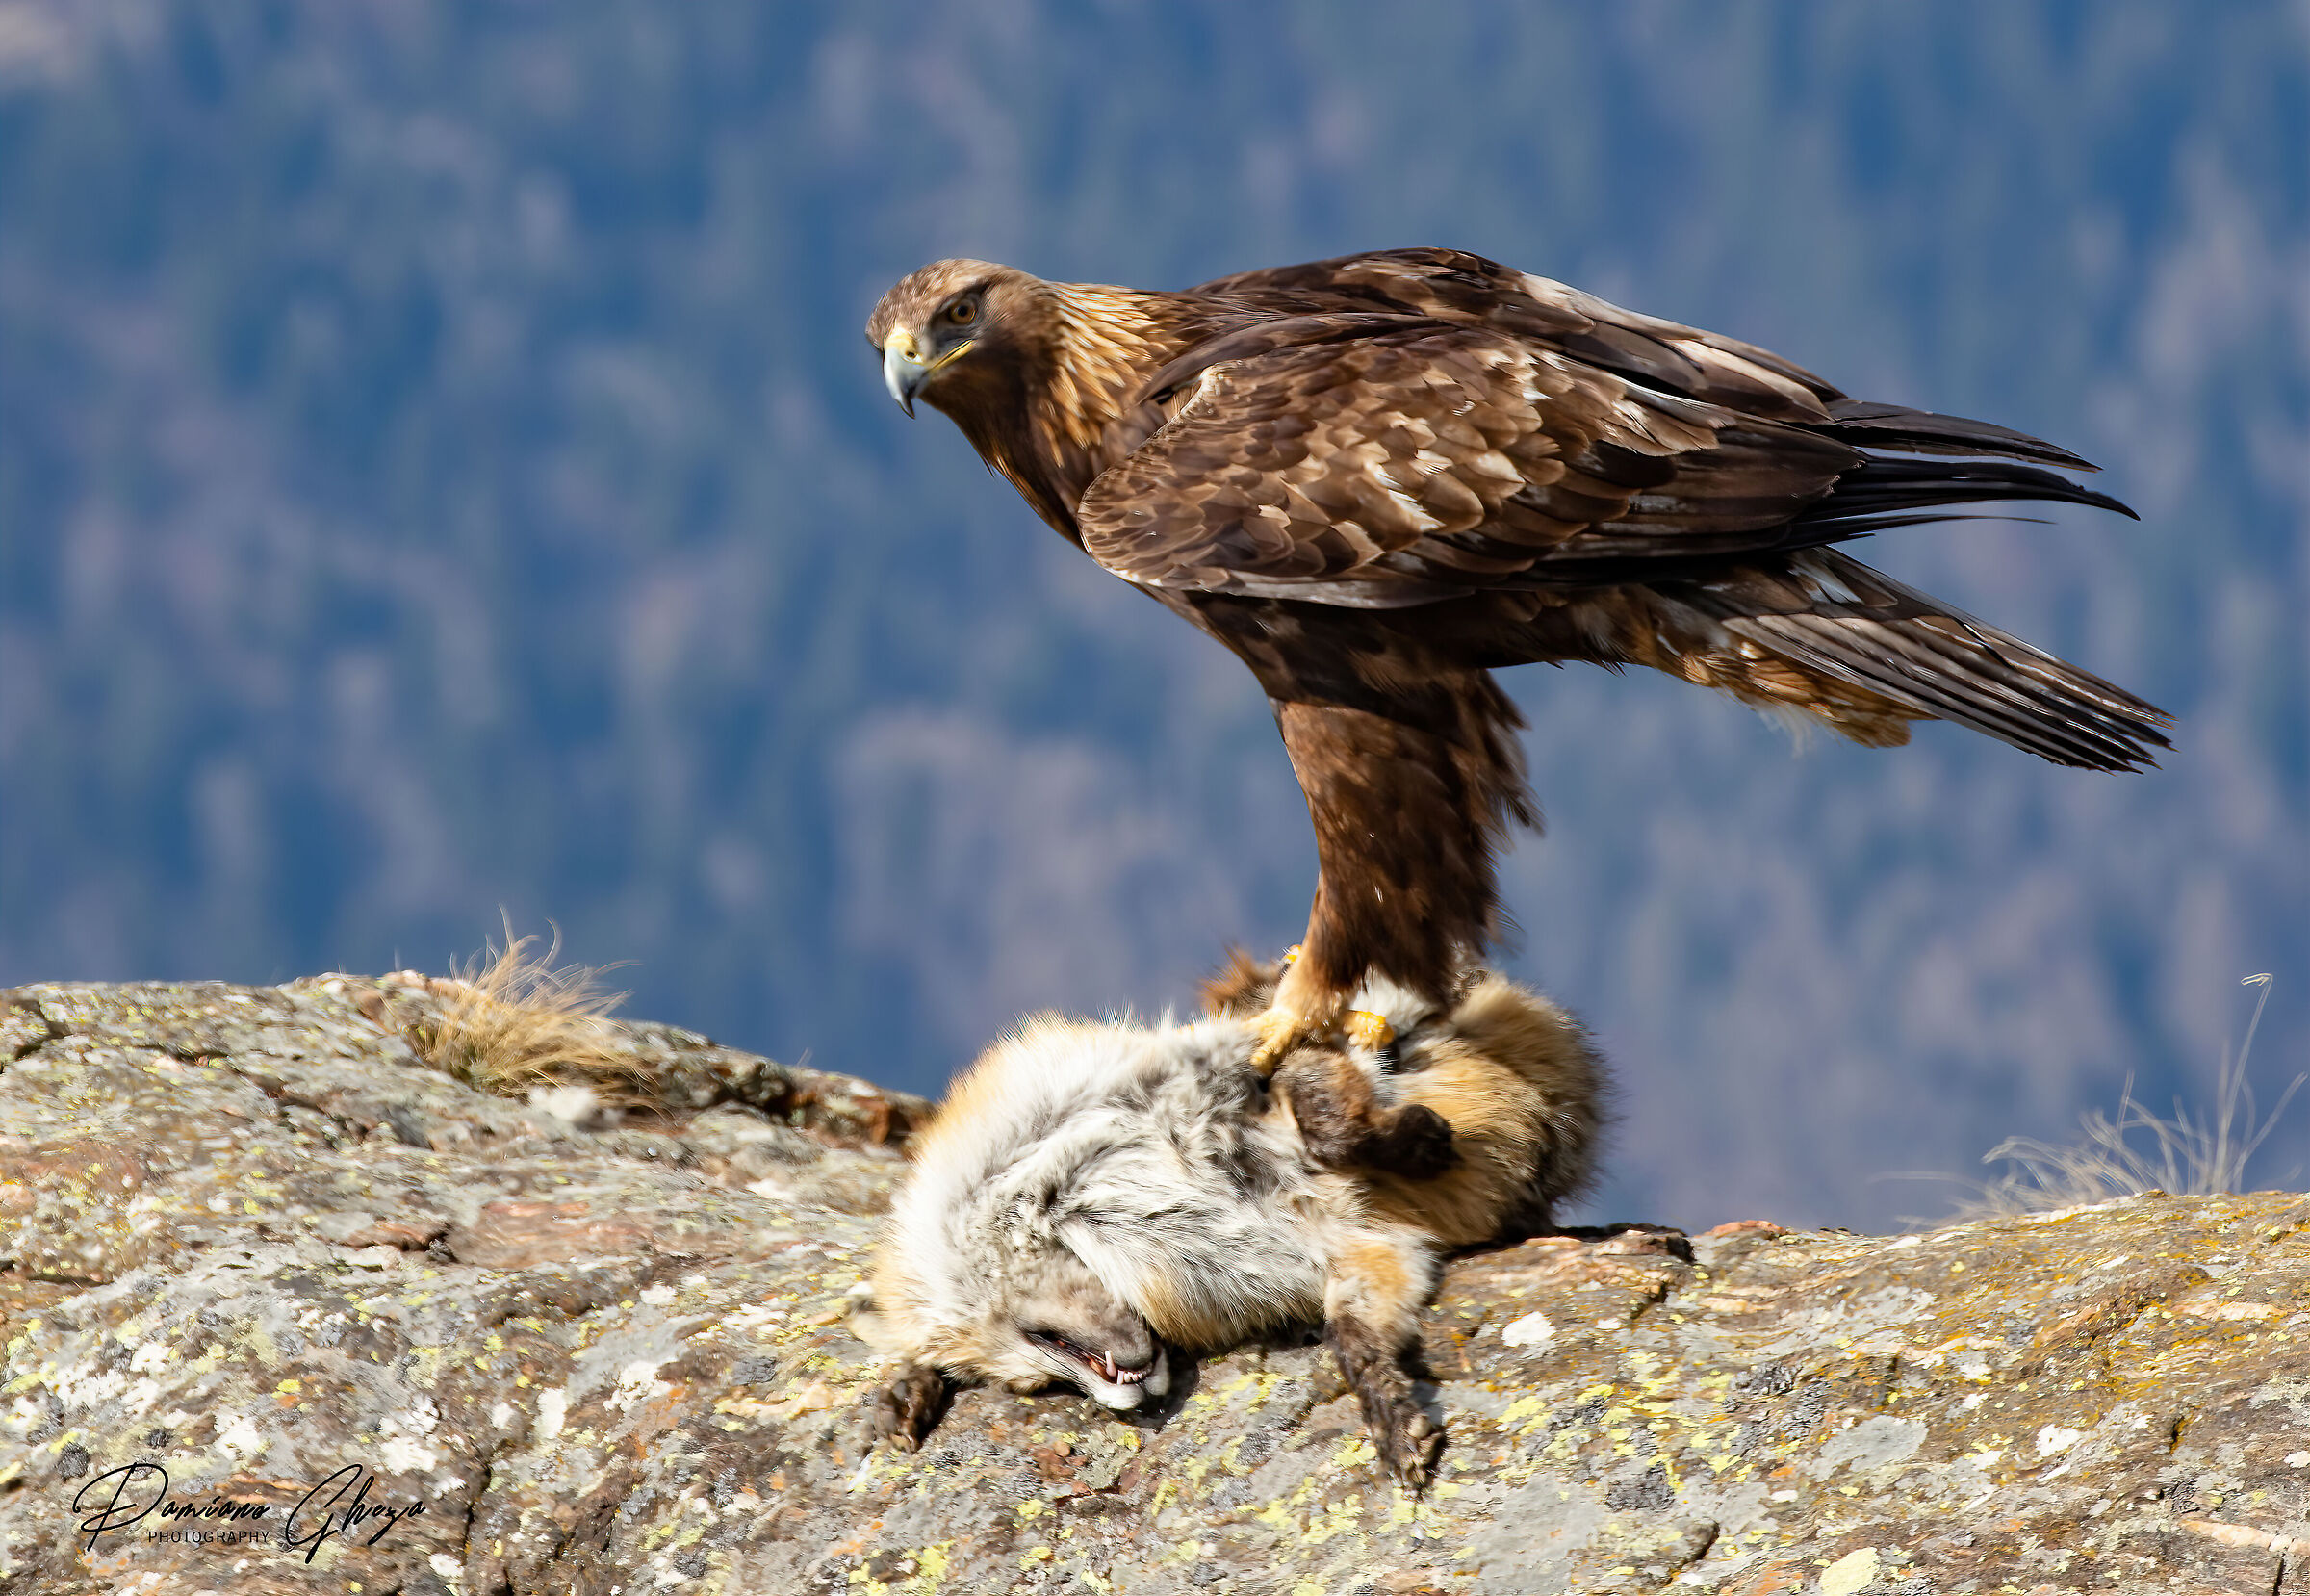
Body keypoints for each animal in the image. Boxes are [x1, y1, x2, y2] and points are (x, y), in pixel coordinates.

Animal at [858, 960, 1606, 1485]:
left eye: (1033, 1347)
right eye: (1032, 1387)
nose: (1130, 1402)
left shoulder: (1243, 1067)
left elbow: (1326, 1114)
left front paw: (1418, 1141)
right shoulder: (1361, 1252)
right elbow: (1356, 1343)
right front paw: (1397, 1420)